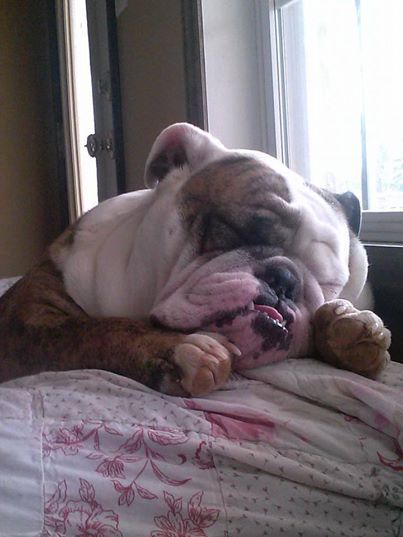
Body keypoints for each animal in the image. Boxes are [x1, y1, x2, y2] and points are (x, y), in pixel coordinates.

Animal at [0, 123, 392, 396]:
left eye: (330, 284)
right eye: (233, 228)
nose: (285, 280)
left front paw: (349, 328)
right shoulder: (25, 321)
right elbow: (93, 329)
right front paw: (176, 349)